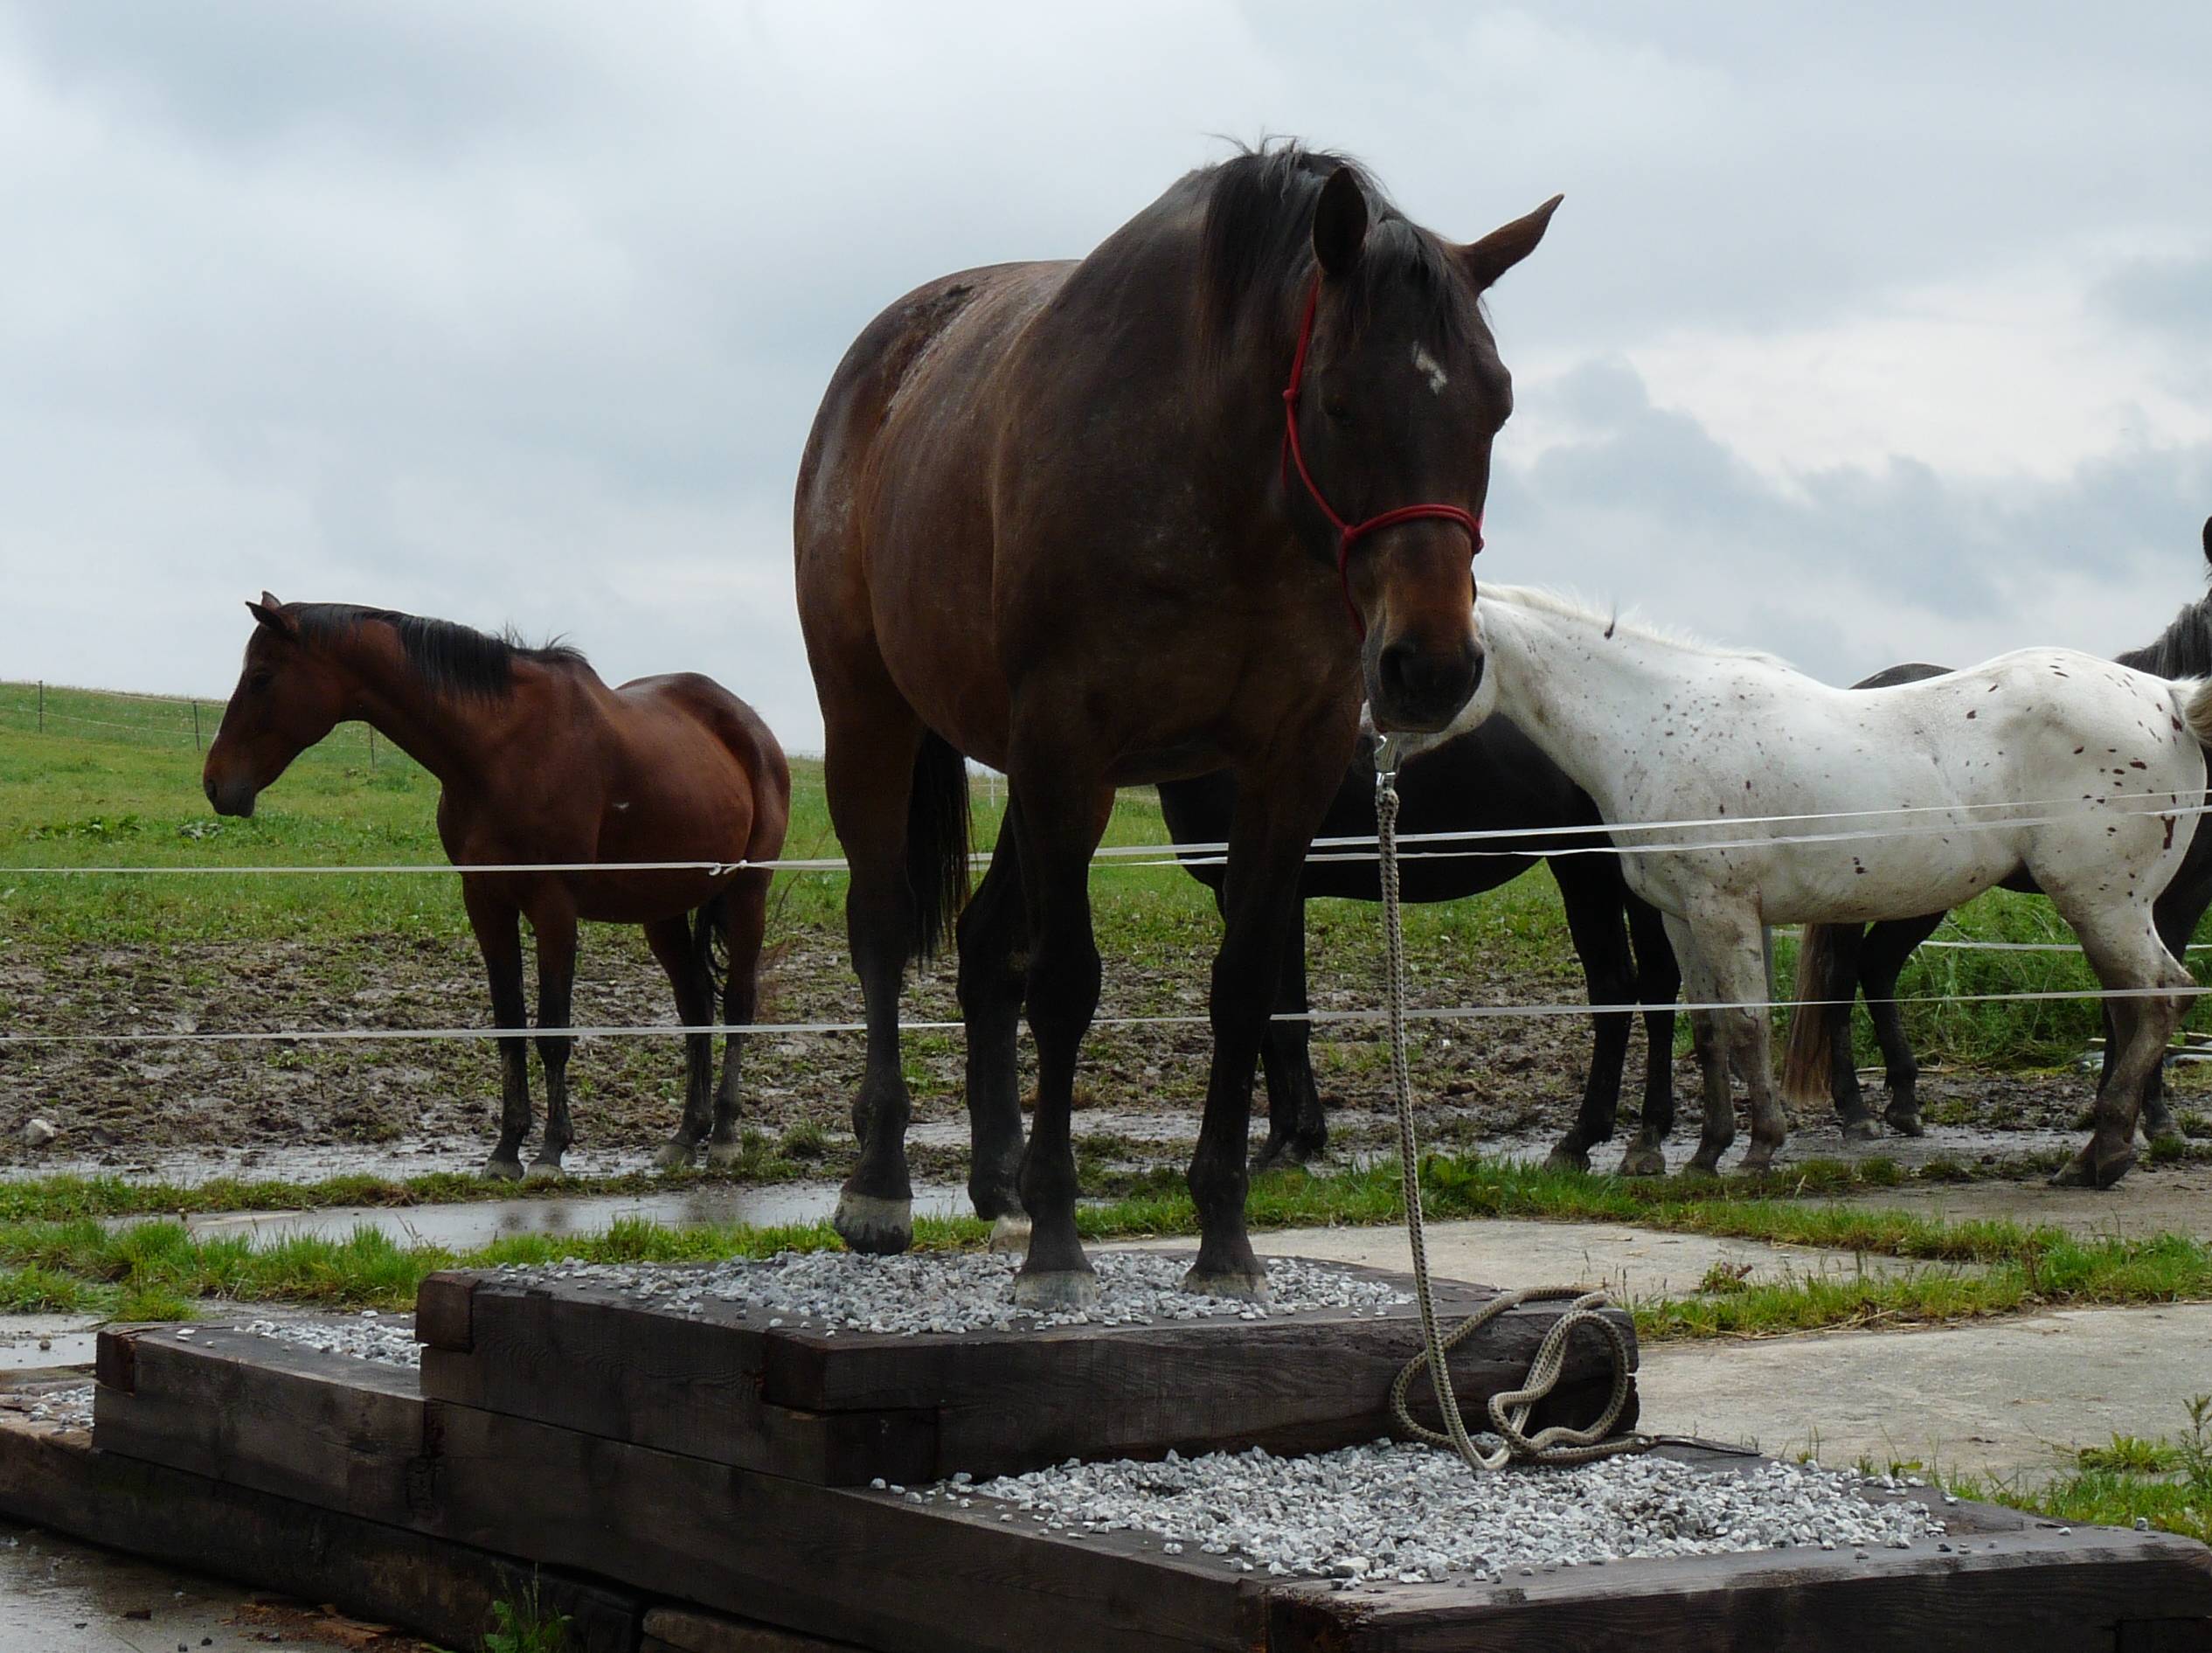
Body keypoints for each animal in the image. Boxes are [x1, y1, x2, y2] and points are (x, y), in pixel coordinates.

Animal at [197, 601, 787, 1185]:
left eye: (262, 677)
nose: (215, 784)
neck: (496, 748)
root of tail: (751, 727)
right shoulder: (485, 902)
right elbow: (509, 1025)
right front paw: (506, 1149)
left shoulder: (553, 906)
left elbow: (552, 1029)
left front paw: (551, 1151)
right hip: (662, 910)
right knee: (695, 1007)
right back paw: (685, 1137)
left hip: (747, 893)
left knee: (738, 1004)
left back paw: (726, 1136)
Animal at [796, 142, 1557, 1309]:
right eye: (1338, 401)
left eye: (1496, 405)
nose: (1431, 667)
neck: (1217, 477)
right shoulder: (1070, 743)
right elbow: (1066, 983)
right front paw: (1057, 1246)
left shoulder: (1284, 764)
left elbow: (1244, 993)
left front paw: (1223, 1239)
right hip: (873, 714)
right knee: (881, 925)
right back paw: (880, 1185)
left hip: (1023, 777)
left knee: (982, 944)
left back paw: (995, 1176)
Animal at [1141, 726, 1672, 1177]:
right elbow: (1267, 1019)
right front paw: (1281, 1141)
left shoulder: (1274, 891)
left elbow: (1286, 1019)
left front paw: (1297, 1143)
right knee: (1652, 986)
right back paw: (1642, 1136)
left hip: (1591, 865)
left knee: (1620, 988)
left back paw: (1590, 1139)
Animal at [1787, 510, 2212, 1142]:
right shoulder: (2155, 896)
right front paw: (2149, 1118)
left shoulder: (2172, 896)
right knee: (1842, 977)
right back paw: (1856, 1112)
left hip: (1919, 891)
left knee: (1877, 966)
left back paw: (1904, 1102)